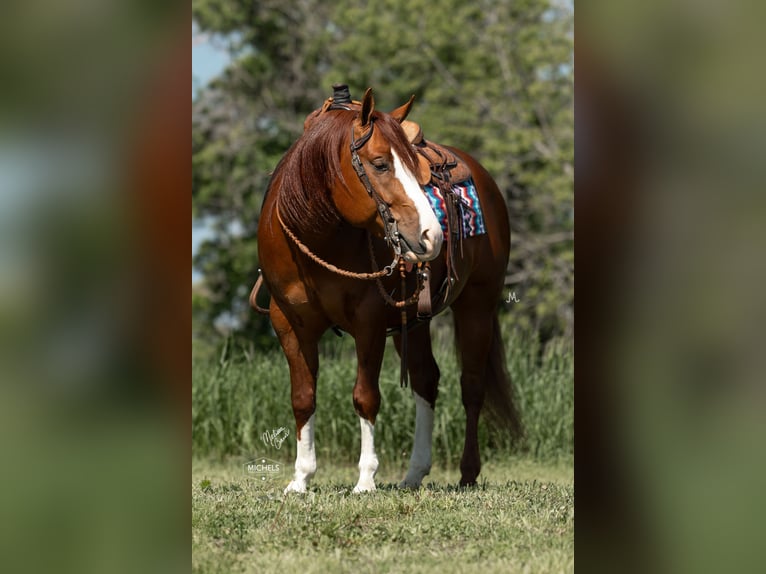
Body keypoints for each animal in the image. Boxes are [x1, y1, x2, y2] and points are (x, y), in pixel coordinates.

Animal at [256, 88, 520, 492]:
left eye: (414, 166)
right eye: (380, 164)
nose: (432, 234)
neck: (316, 237)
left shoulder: (369, 322)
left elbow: (365, 397)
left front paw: (366, 480)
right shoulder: (289, 324)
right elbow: (303, 398)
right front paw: (300, 479)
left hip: (478, 304)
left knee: (472, 386)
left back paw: (468, 473)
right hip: (414, 319)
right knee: (427, 379)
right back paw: (414, 474)